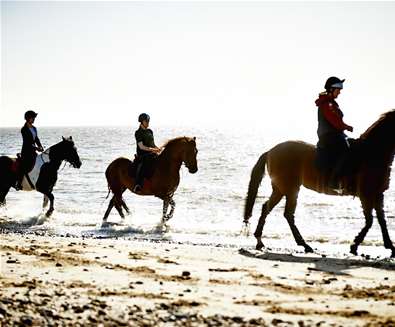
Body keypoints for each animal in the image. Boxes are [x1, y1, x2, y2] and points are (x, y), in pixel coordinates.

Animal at [244, 110, 395, 258]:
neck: (370, 153)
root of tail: (270, 151)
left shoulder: (377, 194)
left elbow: (382, 220)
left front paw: (390, 247)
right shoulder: (366, 195)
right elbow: (370, 221)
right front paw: (354, 246)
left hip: (280, 189)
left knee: (267, 208)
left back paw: (260, 241)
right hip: (290, 189)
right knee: (287, 214)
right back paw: (304, 245)